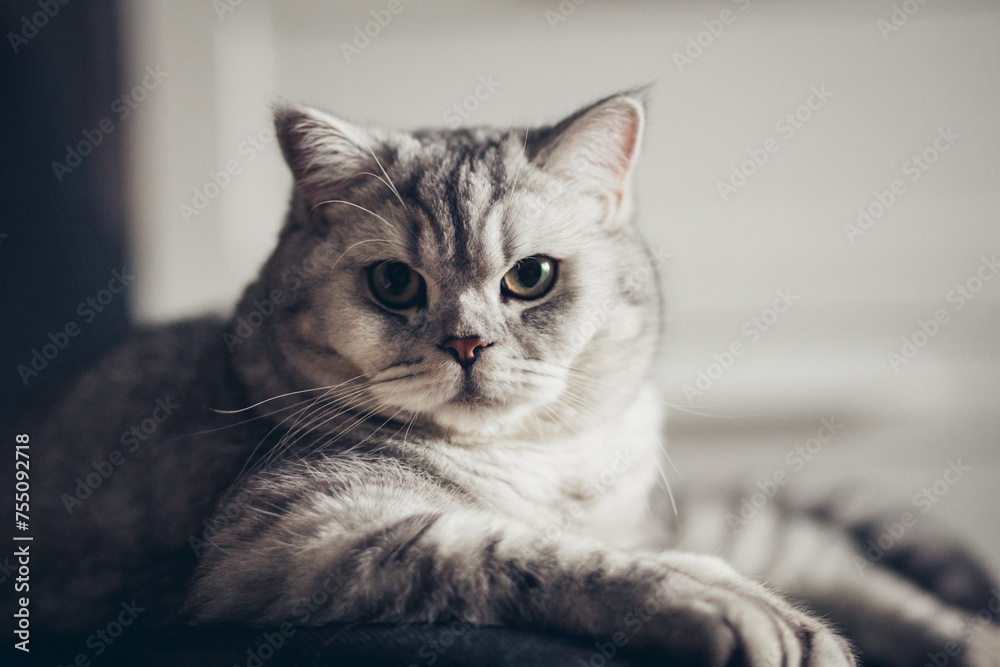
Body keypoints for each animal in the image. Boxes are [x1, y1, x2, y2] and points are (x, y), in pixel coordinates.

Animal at [15, 91, 1000, 664]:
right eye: (394, 283)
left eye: (530, 277)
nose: (467, 343)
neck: (557, 464)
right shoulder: (291, 534)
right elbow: (532, 552)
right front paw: (718, 603)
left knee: (845, 566)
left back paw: (964, 636)